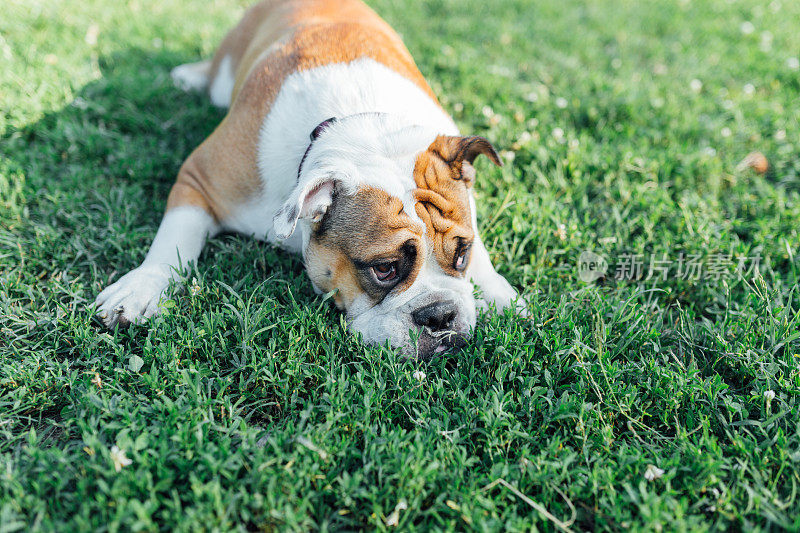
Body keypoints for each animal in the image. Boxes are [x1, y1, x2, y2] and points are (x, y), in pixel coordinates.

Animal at [94, 0, 520, 358]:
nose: (440, 315)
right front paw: (140, 287)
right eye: (384, 269)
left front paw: (499, 293)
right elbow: (174, 241)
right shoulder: (198, 178)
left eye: (461, 254)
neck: (362, 126)